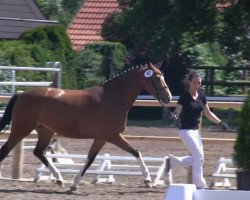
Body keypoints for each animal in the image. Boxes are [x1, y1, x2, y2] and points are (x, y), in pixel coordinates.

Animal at [0, 62, 172, 189]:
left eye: (163, 76)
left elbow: (90, 159)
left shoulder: (101, 138)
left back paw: (59, 179)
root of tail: (21, 94)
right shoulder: (113, 136)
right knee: (5, 150)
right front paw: (148, 180)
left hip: (45, 131)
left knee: (39, 152)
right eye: (156, 78)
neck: (112, 98)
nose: (168, 97)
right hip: (21, 129)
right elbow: (135, 152)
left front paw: (74, 184)